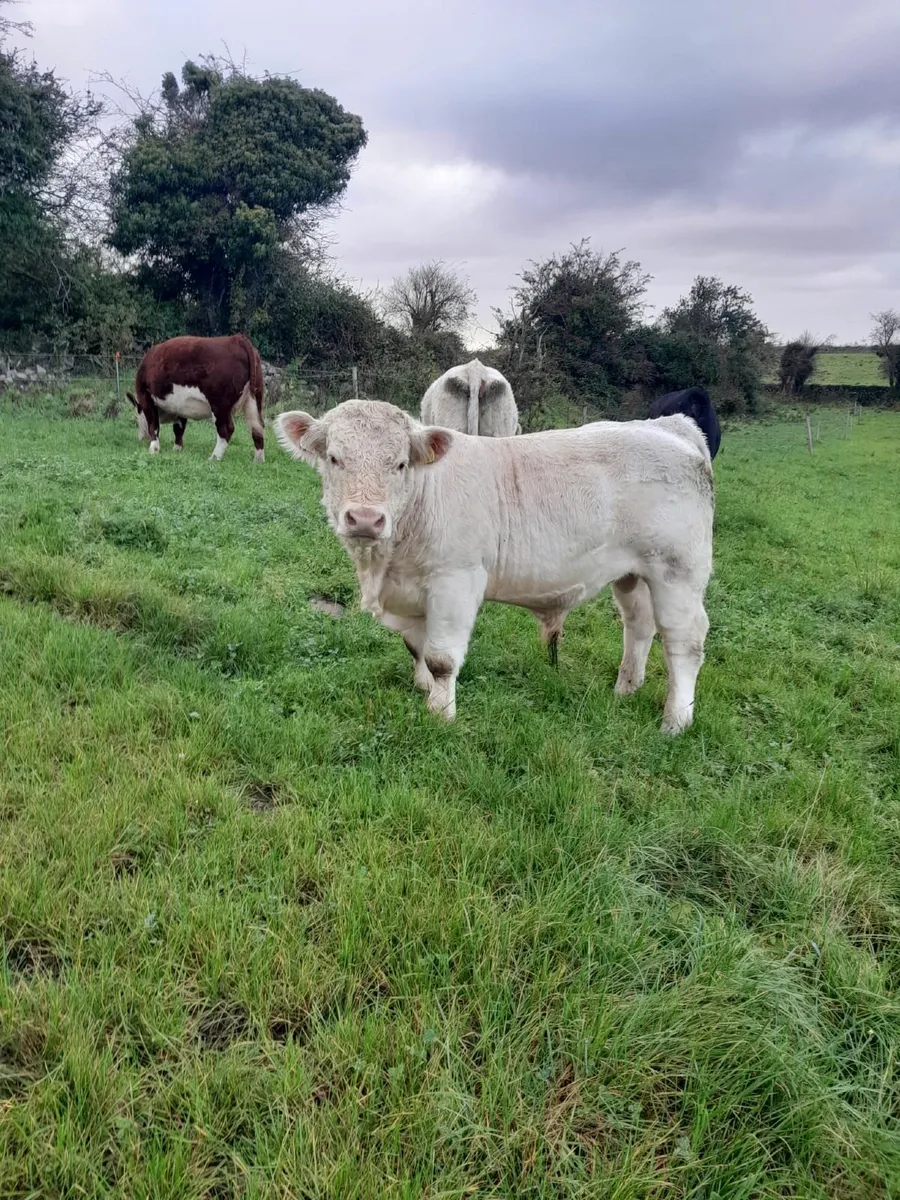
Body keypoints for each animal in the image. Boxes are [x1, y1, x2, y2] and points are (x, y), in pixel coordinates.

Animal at [127, 334, 266, 462]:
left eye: (137, 417)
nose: (141, 438)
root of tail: (237, 339)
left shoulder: (146, 398)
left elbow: (153, 426)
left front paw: (154, 449)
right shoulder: (180, 406)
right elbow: (179, 428)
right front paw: (177, 449)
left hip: (219, 405)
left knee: (226, 429)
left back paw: (214, 457)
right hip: (254, 399)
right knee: (257, 427)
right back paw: (258, 460)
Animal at [274, 399, 714, 734]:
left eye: (399, 464)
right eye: (334, 459)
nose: (365, 519)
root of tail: (670, 427)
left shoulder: (456, 580)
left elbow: (441, 658)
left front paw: (441, 715)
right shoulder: (412, 592)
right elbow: (417, 648)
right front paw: (424, 690)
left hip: (678, 573)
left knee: (684, 642)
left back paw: (675, 722)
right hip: (632, 574)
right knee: (639, 625)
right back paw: (625, 689)